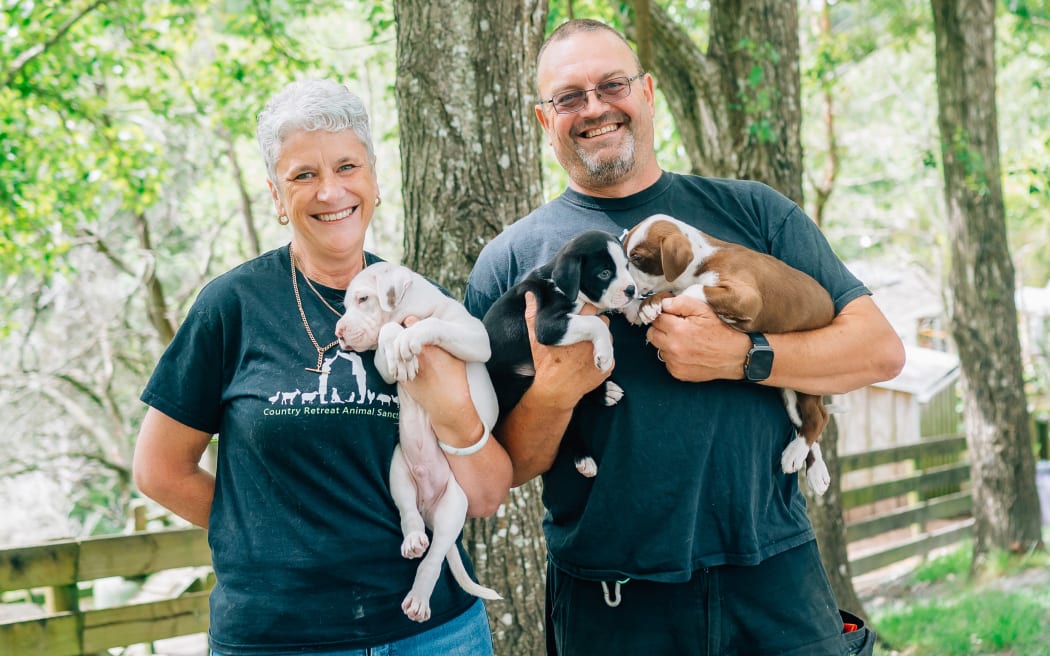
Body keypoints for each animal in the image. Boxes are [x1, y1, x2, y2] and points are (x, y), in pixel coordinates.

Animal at [480, 229, 634, 476]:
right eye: (604, 273)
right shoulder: (547, 325)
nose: (631, 290)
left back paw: (604, 393)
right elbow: (594, 322)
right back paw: (584, 455)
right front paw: (605, 353)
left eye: (627, 266)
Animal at [621, 212, 835, 493]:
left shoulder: (746, 297)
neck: (701, 260)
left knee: (818, 418)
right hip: (788, 393)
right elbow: (675, 293)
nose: (624, 288)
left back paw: (795, 453)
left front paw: (649, 303)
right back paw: (815, 470)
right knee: (806, 422)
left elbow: (692, 291)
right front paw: (642, 307)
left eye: (637, 258)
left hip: (807, 386)